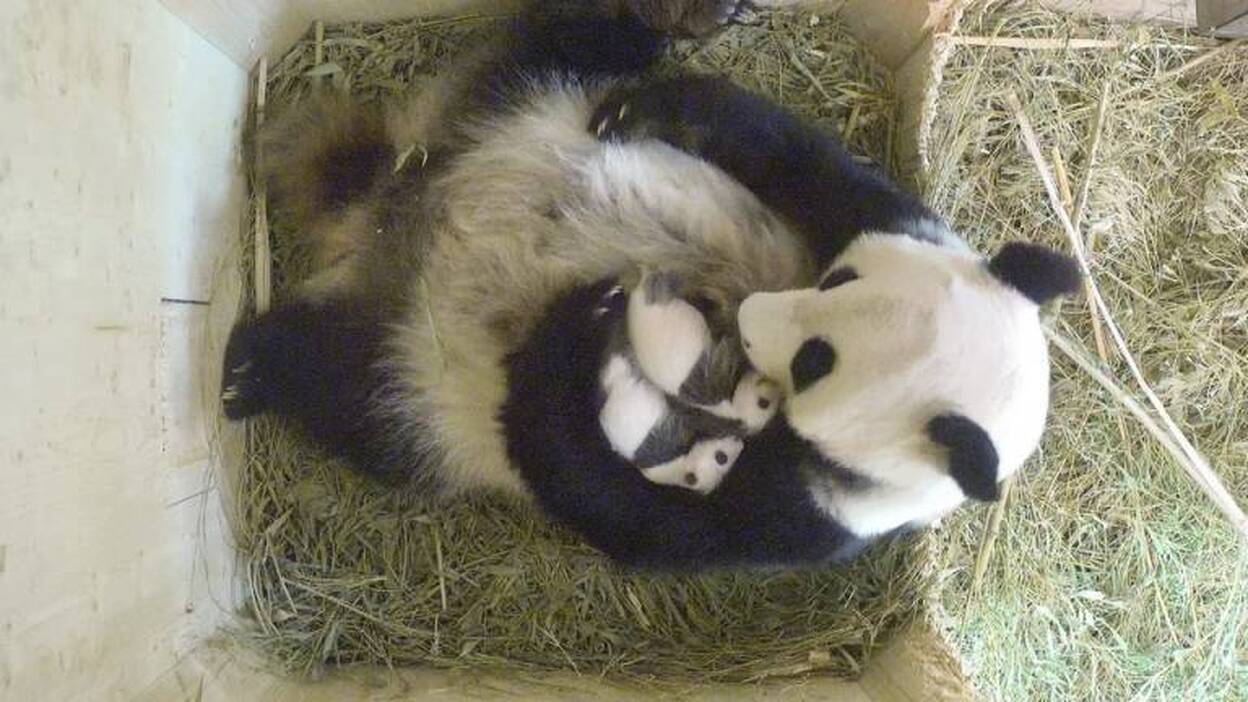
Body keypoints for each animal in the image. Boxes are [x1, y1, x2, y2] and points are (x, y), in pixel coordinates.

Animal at [222, 0, 1082, 569]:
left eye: (814, 366)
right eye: (837, 281)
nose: (748, 315)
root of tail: (390, 211)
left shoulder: (817, 513)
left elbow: (646, 519)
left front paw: (568, 337)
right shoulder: (894, 222)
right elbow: (801, 160)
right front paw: (656, 108)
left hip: (420, 375)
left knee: (346, 390)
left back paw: (251, 367)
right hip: (532, 88)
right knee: (581, 31)